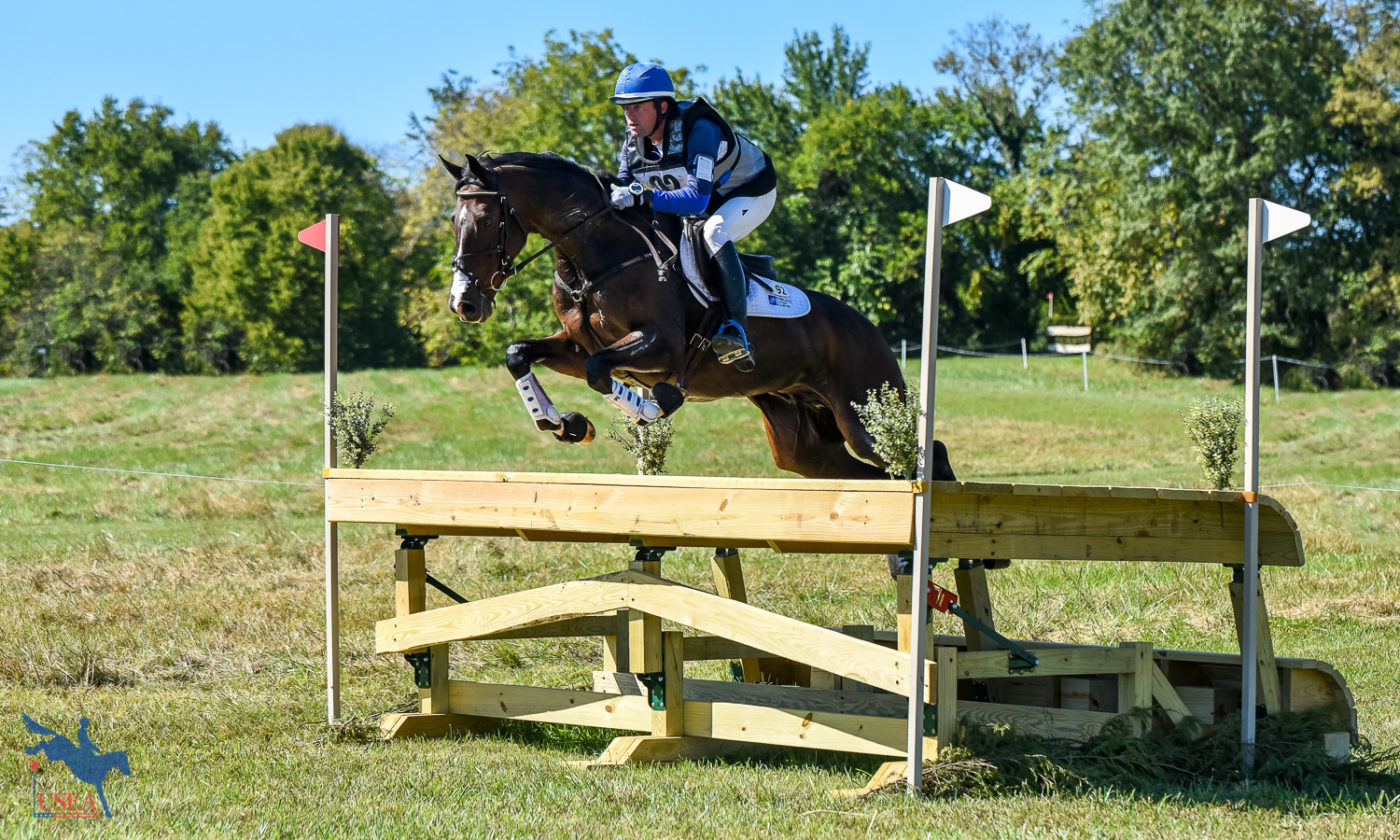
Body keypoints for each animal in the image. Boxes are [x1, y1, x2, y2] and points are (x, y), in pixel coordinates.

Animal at [442, 149, 957, 478]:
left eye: (485, 220)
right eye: (453, 221)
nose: (464, 303)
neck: (597, 258)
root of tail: (868, 328)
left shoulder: (661, 348)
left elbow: (601, 372)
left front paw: (650, 406)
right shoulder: (576, 344)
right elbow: (519, 353)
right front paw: (563, 423)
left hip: (865, 414)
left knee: (923, 454)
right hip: (804, 448)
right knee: (867, 476)